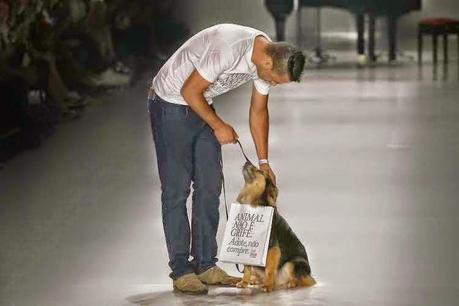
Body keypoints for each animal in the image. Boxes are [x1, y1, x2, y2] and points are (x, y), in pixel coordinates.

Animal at [235, 160, 318, 292]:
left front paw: (268, 286)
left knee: (300, 280)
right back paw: (256, 280)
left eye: (260, 171)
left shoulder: (273, 248)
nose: (246, 161)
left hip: (293, 263)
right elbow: (247, 268)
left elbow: (270, 270)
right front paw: (244, 282)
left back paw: (289, 283)